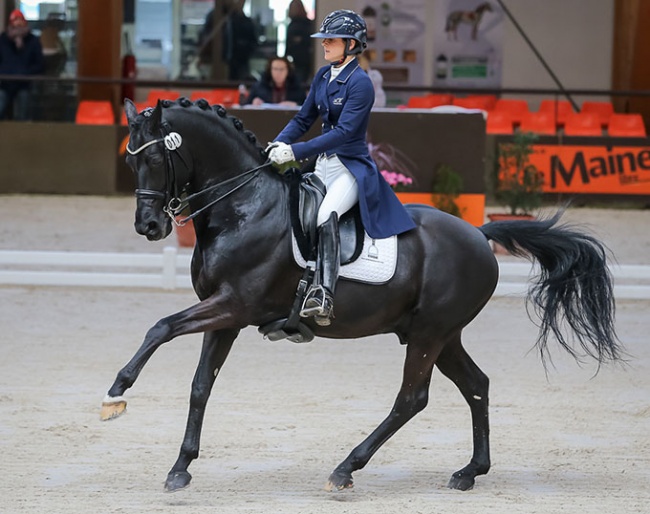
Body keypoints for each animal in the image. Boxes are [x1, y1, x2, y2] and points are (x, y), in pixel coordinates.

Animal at [100, 97, 616, 492]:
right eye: (128, 161)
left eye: (154, 160)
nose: (149, 226)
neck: (243, 206)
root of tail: (478, 233)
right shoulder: (226, 315)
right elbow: (200, 386)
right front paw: (180, 468)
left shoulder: (233, 305)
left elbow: (161, 327)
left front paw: (117, 392)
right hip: (441, 334)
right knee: (476, 385)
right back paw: (470, 472)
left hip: (430, 333)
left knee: (412, 398)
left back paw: (346, 468)